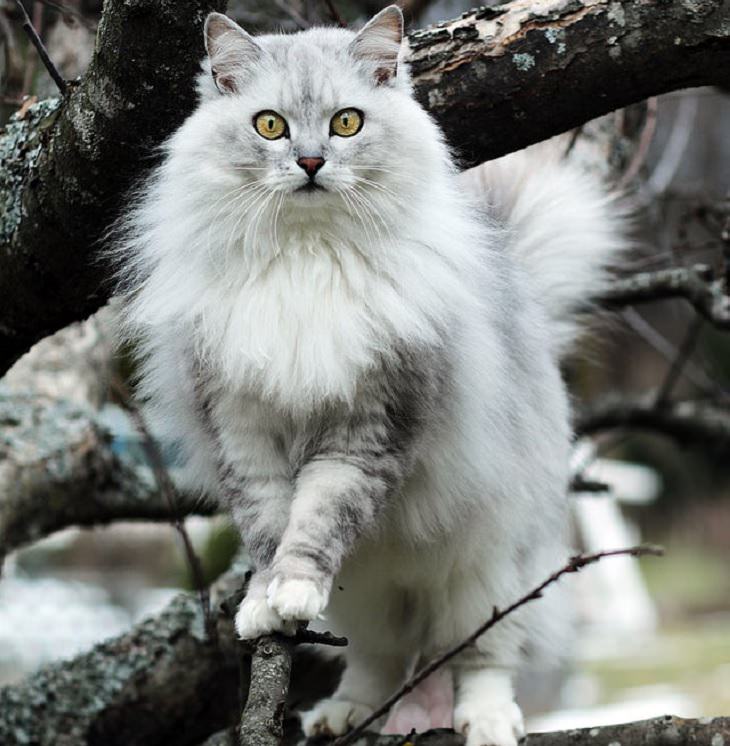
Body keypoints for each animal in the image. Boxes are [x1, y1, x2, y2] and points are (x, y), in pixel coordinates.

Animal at [116, 7, 624, 744]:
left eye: (347, 122)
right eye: (270, 125)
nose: (310, 163)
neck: (307, 260)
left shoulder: (368, 431)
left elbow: (315, 525)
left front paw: (292, 588)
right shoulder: (243, 432)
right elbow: (269, 532)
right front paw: (267, 606)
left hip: (488, 575)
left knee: (480, 656)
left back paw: (487, 720)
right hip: (372, 599)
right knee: (379, 660)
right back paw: (344, 714)